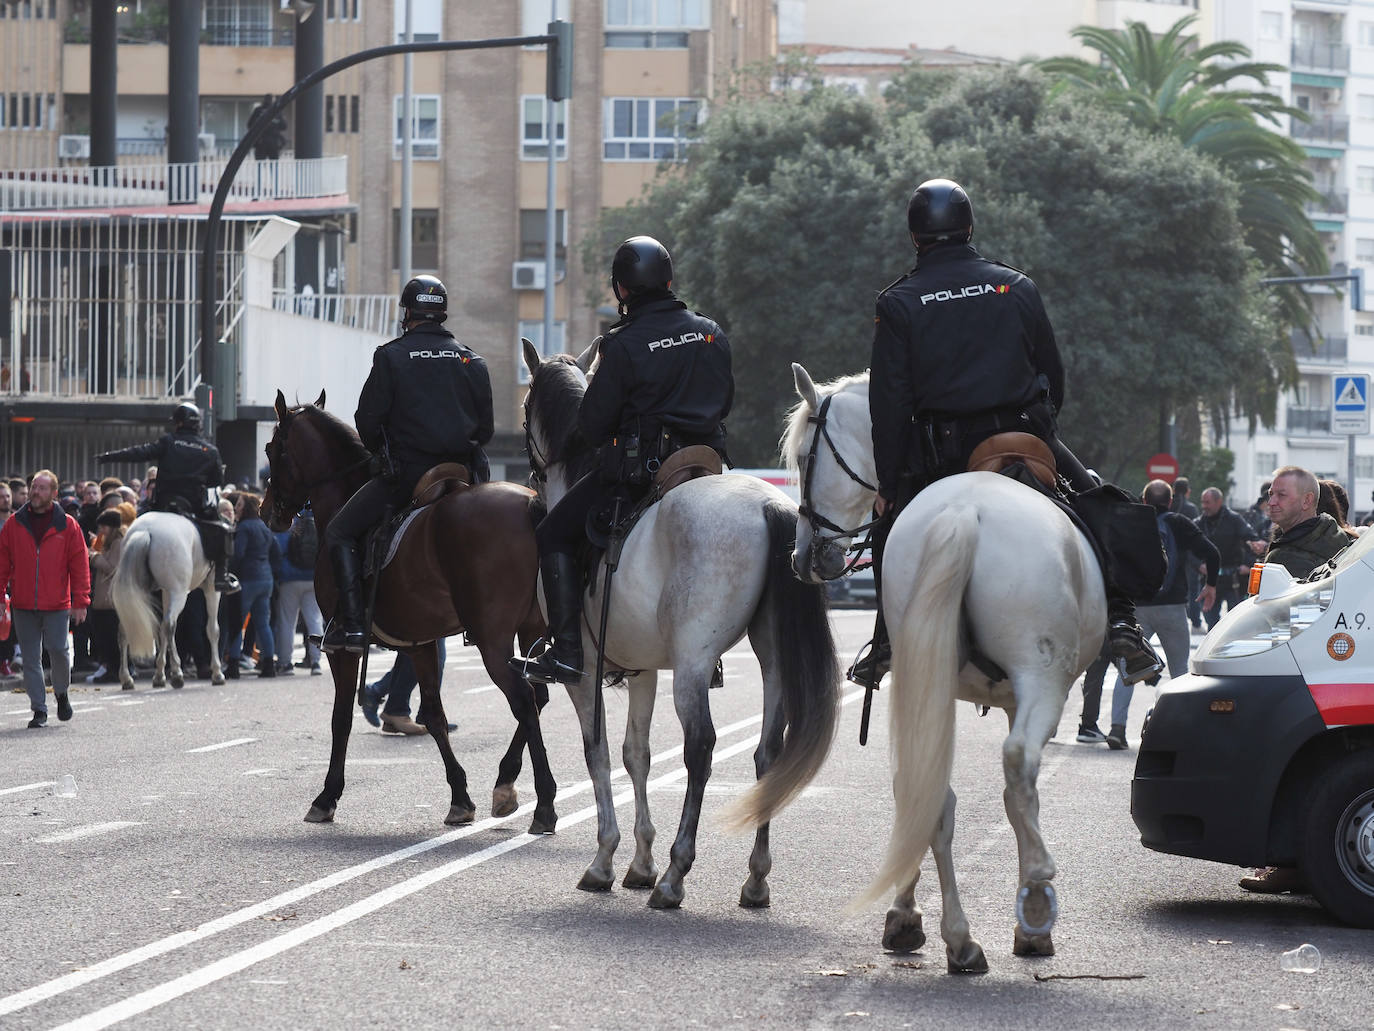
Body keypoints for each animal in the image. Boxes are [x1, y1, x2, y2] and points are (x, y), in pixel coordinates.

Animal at [112, 514, 223, 690]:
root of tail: (145, 531)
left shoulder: (165, 591)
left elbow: (162, 632)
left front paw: (159, 676)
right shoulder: (212, 588)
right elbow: (213, 630)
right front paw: (217, 674)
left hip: (137, 593)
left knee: (127, 630)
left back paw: (126, 678)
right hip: (179, 593)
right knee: (170, 625)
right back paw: (177, 674)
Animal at [259, 390, 555, 835]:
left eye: (271, 448)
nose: (266, 512)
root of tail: (530, 503)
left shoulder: (341, 648)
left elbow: (340, 718)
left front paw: (326, 797)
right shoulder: (420, 643)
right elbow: (433, 715)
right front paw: (460, 797)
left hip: (493, 640)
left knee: (523, 698)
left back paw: (543, 803)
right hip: (529, 632)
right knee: (538, 695)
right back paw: (505, 784)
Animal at [519, 340, 840, 912]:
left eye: (524, 404)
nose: (530, 477)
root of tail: (769, 503)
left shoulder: (583, 674)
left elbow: (598, 753)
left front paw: (606, 859)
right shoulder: (643, 669)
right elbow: (636, 755)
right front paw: (639, 862)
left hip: (692, 665)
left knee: (701, 748)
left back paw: (675, 874)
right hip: (771, 658)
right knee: (768, 752)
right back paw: (755, 879)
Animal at [785, 365, 1104, 978]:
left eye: (803, 458)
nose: (806, 558)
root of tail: (963, 512)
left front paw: (904, 918)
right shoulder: (1022, 696)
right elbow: (1019, 792)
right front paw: (1030, 918)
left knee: (926, 788)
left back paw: (956, 939)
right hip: (1043, 679)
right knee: (1017, 766)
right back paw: (1032, 899)